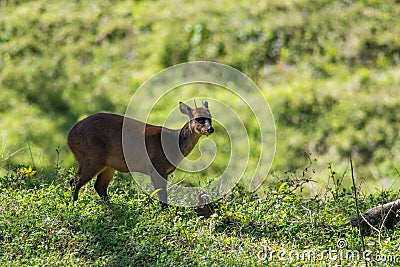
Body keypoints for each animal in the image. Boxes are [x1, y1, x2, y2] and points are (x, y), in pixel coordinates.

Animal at [67, 101, 214, 208]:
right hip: (91, 157)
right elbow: (162, 195)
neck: (172, 144)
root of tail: (69, 136)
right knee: (75, 182)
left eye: (210, 118)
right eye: (198, 119)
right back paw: (73, 207)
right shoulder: (156, 166)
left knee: (98, 186)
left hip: (108, 165)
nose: (210, 129)